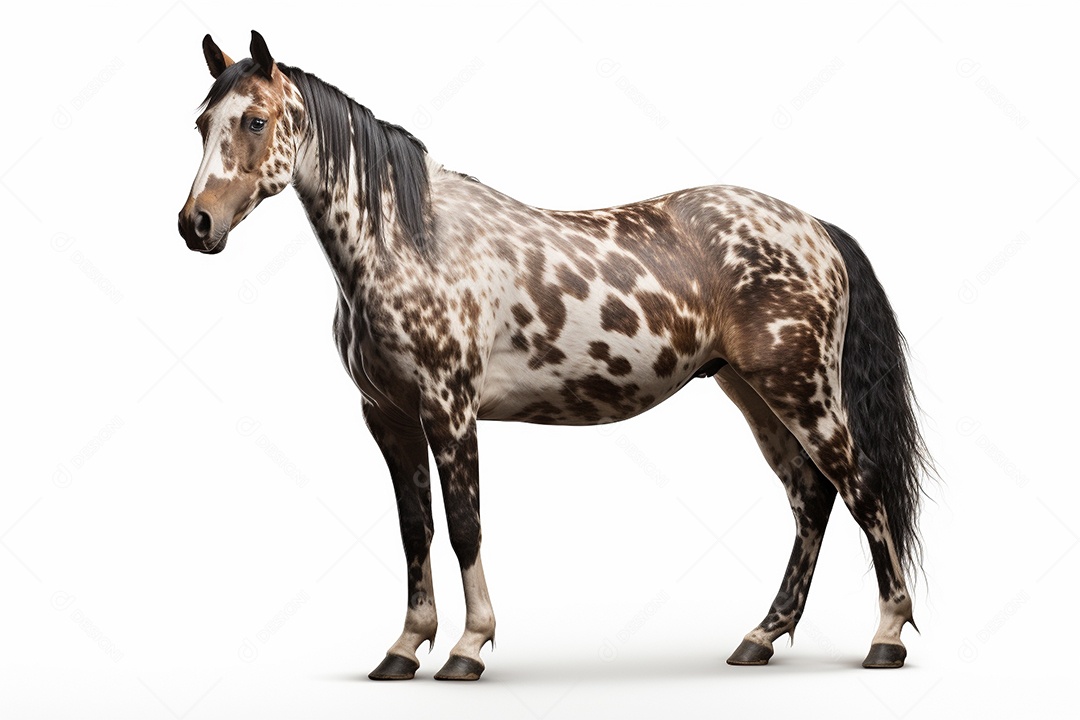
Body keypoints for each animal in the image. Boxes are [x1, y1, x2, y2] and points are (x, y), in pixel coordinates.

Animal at [178, 31, 932, 680]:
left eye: (255, 121)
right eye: (202, 123)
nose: (196, 225)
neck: (412, 241)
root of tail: (816, 229)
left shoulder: (450, 411)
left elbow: (465, 527)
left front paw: (468, 648)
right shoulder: (386, 416)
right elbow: (415, 530)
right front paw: (403, 648)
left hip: (803, 390)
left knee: (862, 490)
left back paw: (886, 638)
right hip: (753, 392)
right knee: (810, 499)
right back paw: (760, 638)